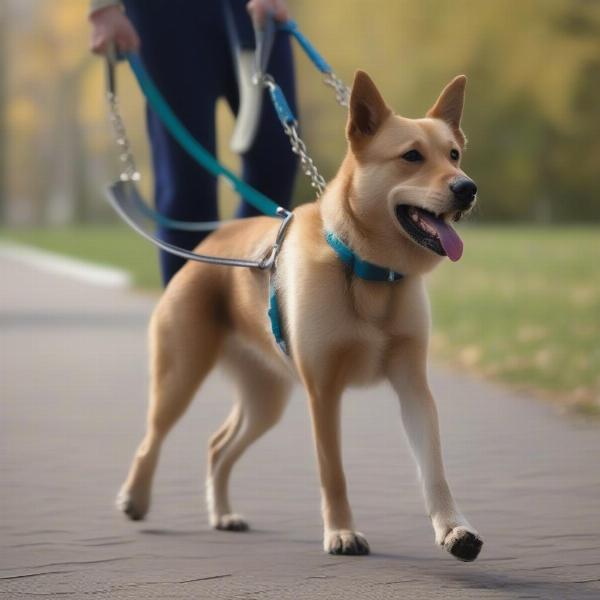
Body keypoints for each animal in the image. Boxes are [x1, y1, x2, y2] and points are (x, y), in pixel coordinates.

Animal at [116, 70, 482, 564]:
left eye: (454, 154)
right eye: (411, 156)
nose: (467, 187)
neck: (365, 269)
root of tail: (209, 245)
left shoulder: (414, 388)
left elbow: (434, 468)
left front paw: (454, 529)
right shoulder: (323, 392)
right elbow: (334, 473)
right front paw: (341, 532)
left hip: (265, 398)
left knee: (218, 447)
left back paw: (222, 514)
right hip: (179, 377)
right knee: (151, 439)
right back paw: (135, 498)